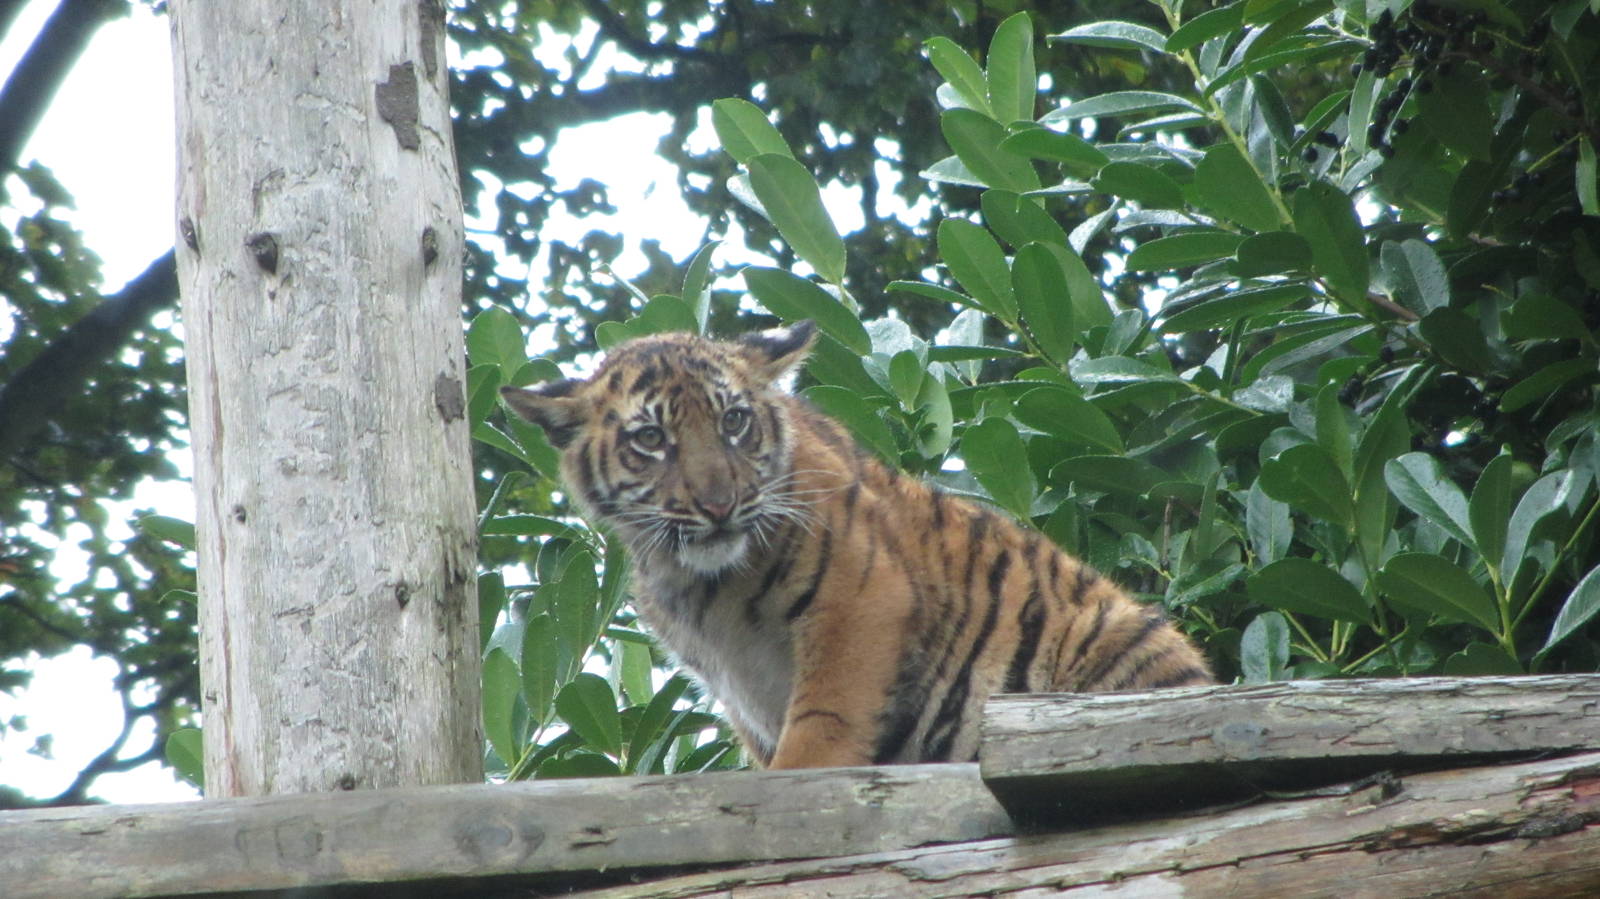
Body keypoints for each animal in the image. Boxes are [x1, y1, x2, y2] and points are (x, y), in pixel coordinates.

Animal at [500, 320, 1212, 768]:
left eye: (733, 422)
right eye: (651, 439)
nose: (720, 505)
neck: (703, 582)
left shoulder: (858, 599)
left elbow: (823, 724)